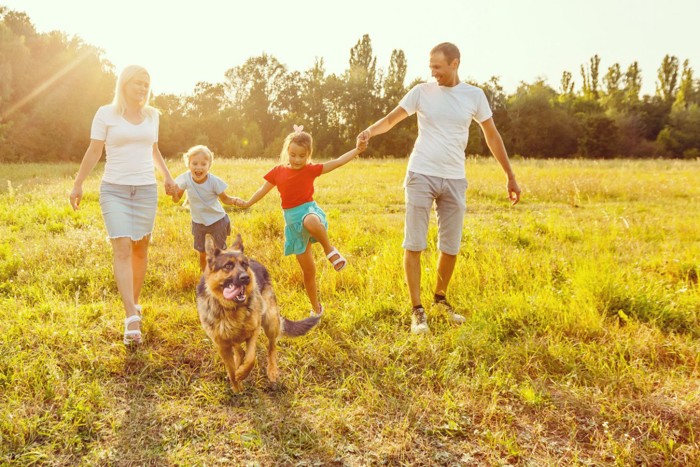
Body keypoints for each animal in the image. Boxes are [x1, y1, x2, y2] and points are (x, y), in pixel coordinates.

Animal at [194, 233, 320, 392]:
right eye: (228, 266)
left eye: (244, 265)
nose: (246, 278)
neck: (231, 309)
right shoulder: (222, 345)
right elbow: (231, 368)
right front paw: (236, 387)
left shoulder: (253, 332)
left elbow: (251, 358)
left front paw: (242, 373)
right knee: (240, 351)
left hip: (270, 321)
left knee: (271, 347)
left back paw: (272, 371)